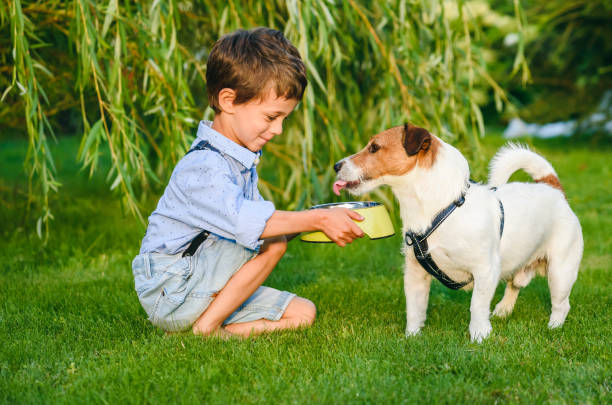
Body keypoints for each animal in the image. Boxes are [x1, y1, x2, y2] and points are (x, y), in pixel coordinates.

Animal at [334, 124, 584, 340]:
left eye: (374, 147)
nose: (336, 165)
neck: (440, 207)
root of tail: (552, 187)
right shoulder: (415, 274)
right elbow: (414, 308)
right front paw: (412, 337)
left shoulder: (485, 270)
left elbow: (477, 305)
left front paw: (479, 335)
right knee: (514, 286)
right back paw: (502, 311)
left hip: (560, 272)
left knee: (562, 304)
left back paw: (553, 327)